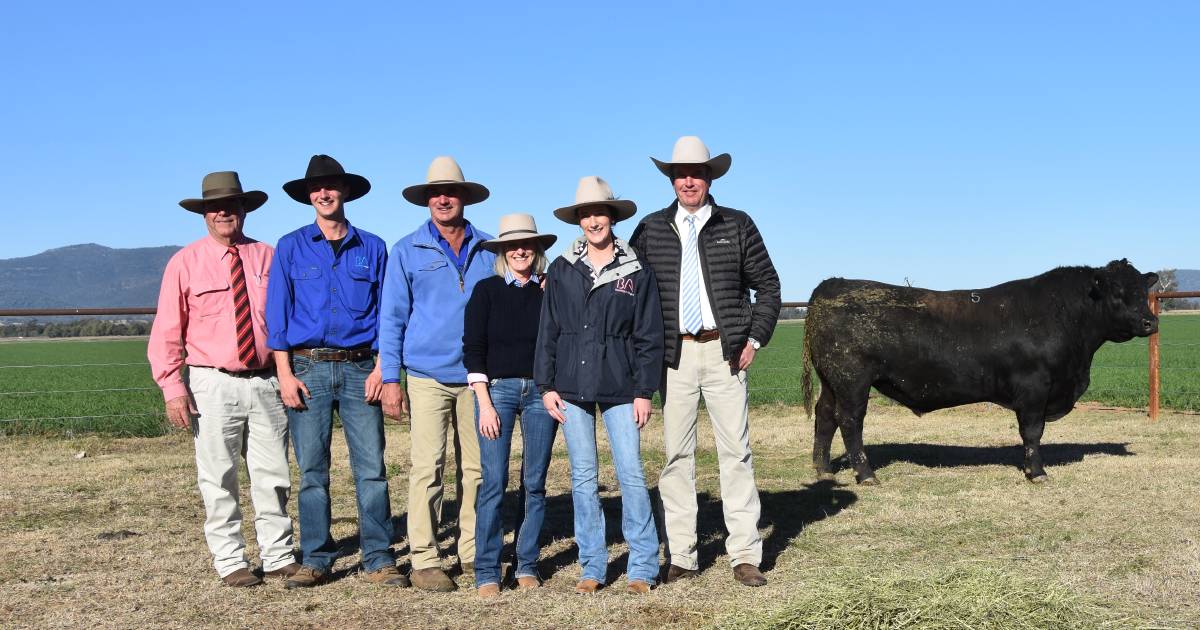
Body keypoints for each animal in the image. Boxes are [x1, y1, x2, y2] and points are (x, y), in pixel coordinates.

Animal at [801, 259, 1156, 482]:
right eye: (1117, 293)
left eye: (1143, 291)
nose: (1150, 322)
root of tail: (831, 284)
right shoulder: (1034, 388)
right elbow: (1032, 431)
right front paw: (1037, 472)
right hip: (852, 382)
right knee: (850, 421)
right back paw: (866, 475)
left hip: (831, 382)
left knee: (825, 416)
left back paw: (823, 469)